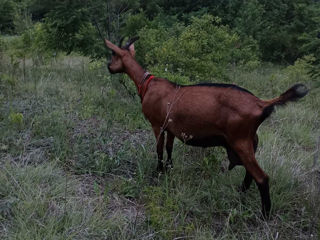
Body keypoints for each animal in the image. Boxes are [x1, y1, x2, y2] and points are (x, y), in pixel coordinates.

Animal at [104, 37, 308, 218]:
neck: (146, 83)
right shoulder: (171, 129)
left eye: (113, 55)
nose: (108, 67)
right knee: (251, 173)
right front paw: (169, 169)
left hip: (240, 141)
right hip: (248, 142)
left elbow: (159, 149)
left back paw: (265, 214)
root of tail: (261, 104)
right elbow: (169, 148)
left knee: (262, 177)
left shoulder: (157, 125)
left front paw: (159, 172)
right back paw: (240, 193)